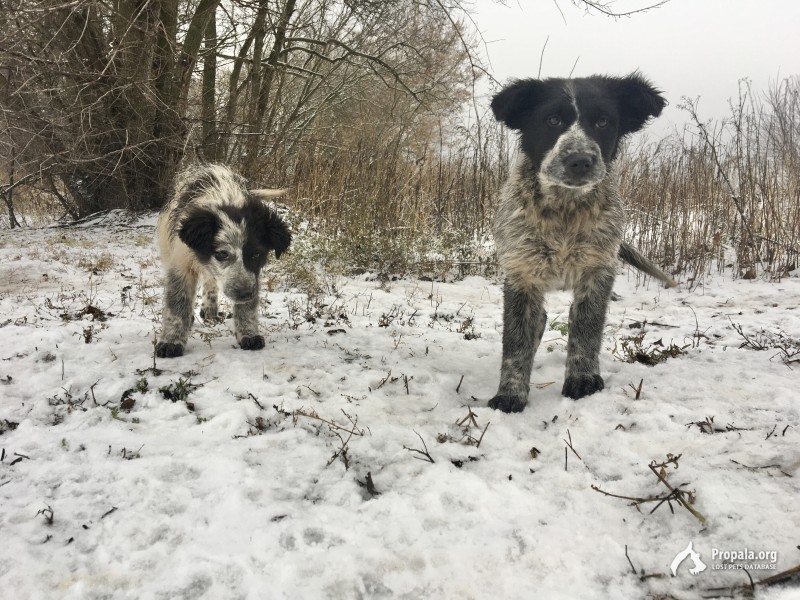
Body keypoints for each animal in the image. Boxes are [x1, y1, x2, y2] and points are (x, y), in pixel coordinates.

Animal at [154, 163, 290, 356]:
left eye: (256, 254)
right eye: (222, 254)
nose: (245, 293)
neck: (226, 198)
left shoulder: (253, 275)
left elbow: (247, 306)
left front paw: (248, 334)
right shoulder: (181, 264)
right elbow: (177, 303)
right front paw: (171, 342)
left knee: (210, 281)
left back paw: (210, 311)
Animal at [488, 72, 676, 412]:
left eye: (602, 121)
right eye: (552, 119)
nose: (580, 160)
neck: (565, 211)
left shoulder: (596, 270)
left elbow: (586, 329)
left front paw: (583, 380)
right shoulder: (522, 274)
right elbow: (517, 342)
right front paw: (510, 394)